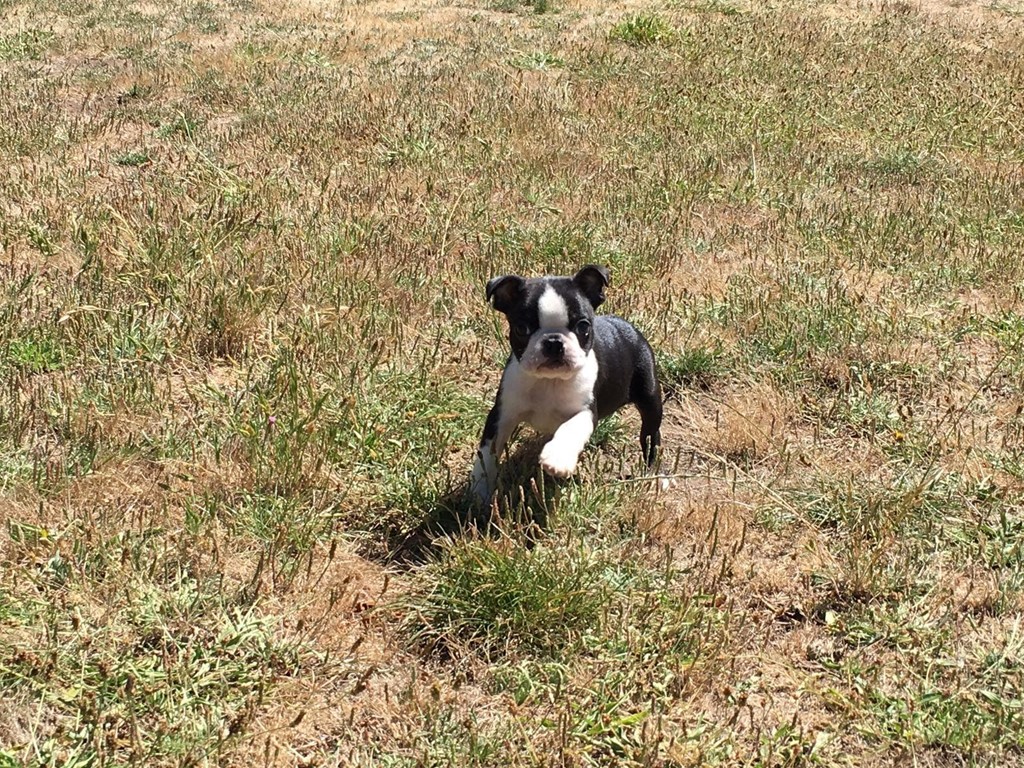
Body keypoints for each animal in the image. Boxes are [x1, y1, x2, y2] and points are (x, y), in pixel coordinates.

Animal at [471, 264, 663, 505]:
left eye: (583, 326)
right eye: (522, 328)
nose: (553, 342)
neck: (549, 381)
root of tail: (625, 324)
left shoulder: (586, 411)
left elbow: (571, 428)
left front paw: (558, 458)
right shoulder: (502, 414)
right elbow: (487, 452)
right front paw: (481, 489)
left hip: (649, 398)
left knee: (651, 437)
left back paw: (655, 475)